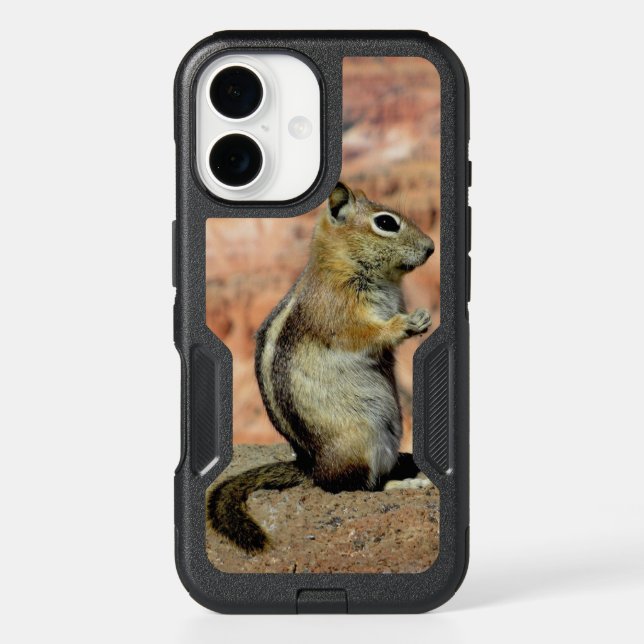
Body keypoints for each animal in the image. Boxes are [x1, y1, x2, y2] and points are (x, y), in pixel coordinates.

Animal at [207, 182, 435, 553]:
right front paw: (405, 324)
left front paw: (423, 318)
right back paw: (404, 484)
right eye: (386, 223)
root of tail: (312, 467)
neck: (342, 263)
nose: (431, 247)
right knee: (352, 487)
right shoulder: (339, 312)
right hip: (362, 441)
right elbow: (365, 334)